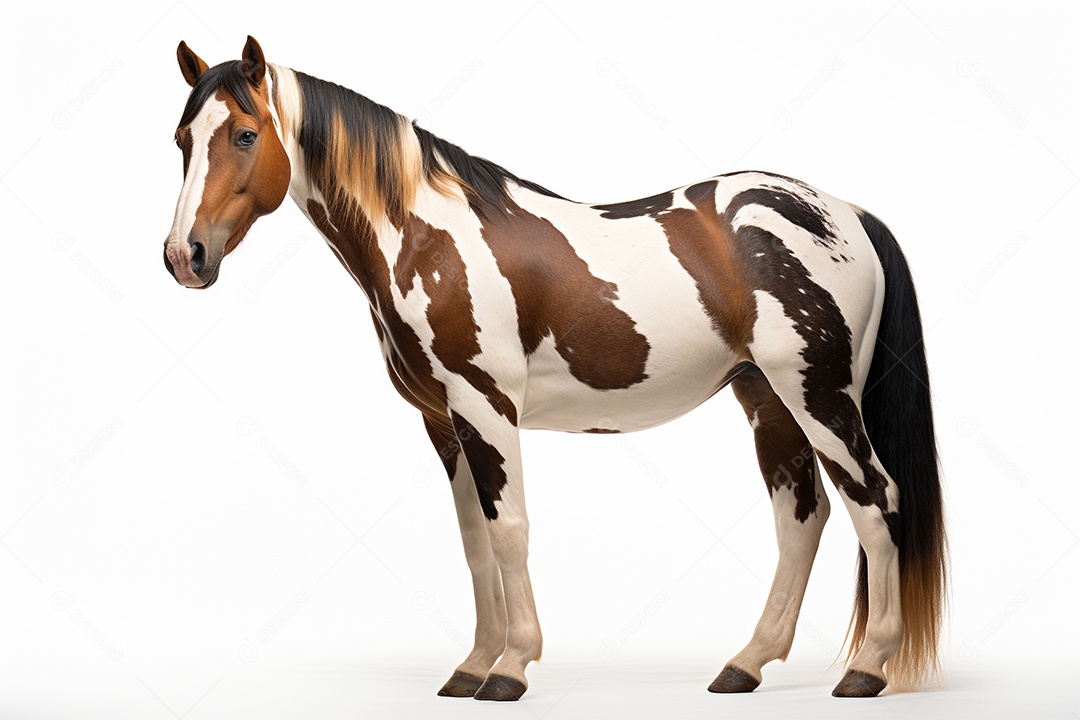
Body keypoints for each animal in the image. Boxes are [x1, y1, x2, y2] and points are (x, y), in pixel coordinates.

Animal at [163, 36, 947, 701]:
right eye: (181, 139)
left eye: (244, 134)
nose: (184, 256)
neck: (427, 236)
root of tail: (845, 213)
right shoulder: (443, 420)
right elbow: (474, 539)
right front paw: (471, 667)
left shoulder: (485, 406)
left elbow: (509, 529)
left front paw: (510, 668)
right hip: (768, 399)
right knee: (802, 517)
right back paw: (744, 665)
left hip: (820, 395)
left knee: (876, 499)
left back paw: (868, 669)